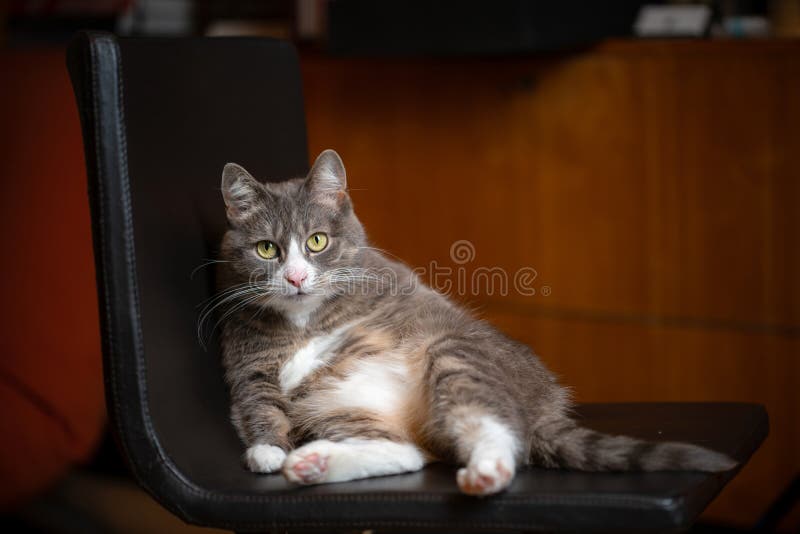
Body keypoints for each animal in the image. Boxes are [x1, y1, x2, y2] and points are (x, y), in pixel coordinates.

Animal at [212, 148, 736, 498]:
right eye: (266, 249)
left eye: (317, 241)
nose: (297, 277)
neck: (303, 318)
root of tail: (545, 410)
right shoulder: (245, 358)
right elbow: (258, 402)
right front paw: (270, 451)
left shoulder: (397, 291)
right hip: (331, 407)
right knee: (407, 453)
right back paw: (313, 464)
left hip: (455, 353)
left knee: (495, 430)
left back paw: (488, 471)